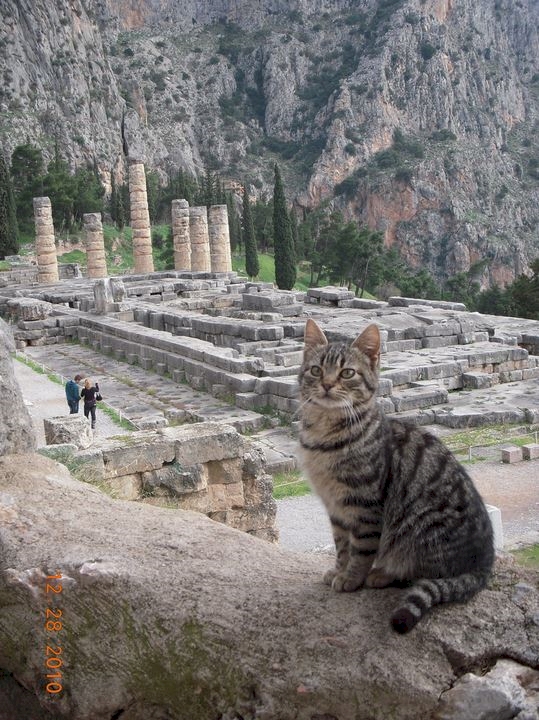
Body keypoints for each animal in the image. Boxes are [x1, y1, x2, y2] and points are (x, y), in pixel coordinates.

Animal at [298, 318, 496, 632]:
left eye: (347, 373)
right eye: (316, 370)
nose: (327, 384)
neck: (324, 436)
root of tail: (484, 564)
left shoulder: (365, 506)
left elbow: (360, 550)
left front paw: (350, 578)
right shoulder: (336, 508)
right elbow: (342, 546)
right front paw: (338, 570)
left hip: (419, 529)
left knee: (422, 573)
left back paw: (382, 574)